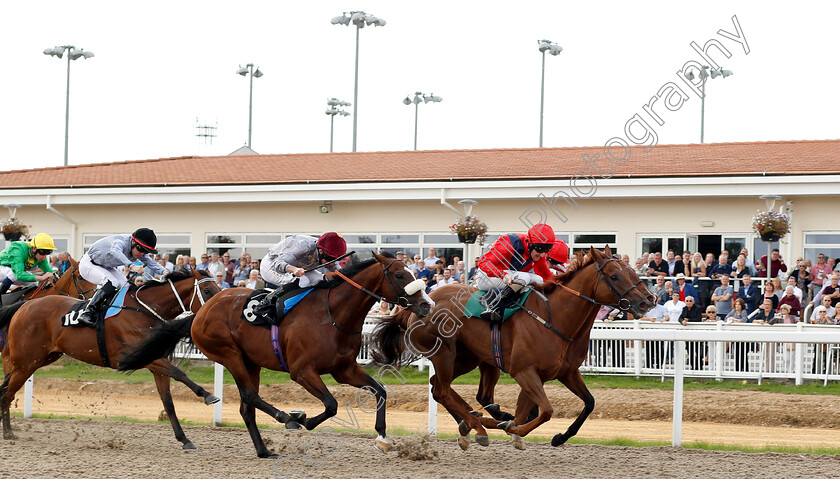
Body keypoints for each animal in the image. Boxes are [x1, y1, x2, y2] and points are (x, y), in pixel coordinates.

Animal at [0, 270, 220, 450]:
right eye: (207, 290)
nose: (216, 309)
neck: (144, 310)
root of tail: (25, 305)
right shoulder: (137, 357)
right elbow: (180, 373)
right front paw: (208, 395)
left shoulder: (155, 363)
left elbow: (168, 401)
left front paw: (184, 439)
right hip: (26, 363)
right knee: (7, 394)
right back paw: (8, 433)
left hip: (39, 359)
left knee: (5, 388)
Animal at [120, 253, 434, 460]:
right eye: (399, 275)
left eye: (412, 272)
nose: (426, 304)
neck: (332, 314)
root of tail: (201, 312)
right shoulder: (302, 371)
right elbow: (332, 405)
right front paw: (304, 420)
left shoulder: (344, 369)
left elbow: (380, 391)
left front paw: (382, 438)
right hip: (230, 355)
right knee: (249, 396)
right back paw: (287, 417)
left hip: (251, 362)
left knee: (246, 407)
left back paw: (264, 450)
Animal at [374, 248, 656, 450]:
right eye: (615, 276)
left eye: (633, 272)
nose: (648, 300)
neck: (555, 319)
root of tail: (419, 304)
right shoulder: (525, 372)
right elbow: (545, 411)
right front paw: (511, 428)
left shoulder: (565, 372)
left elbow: (587, 403)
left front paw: (558, 437)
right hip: (445, 353)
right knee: (442, 390)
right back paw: (477, 425)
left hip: (469, 358)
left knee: (441, 387)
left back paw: (470, 424)